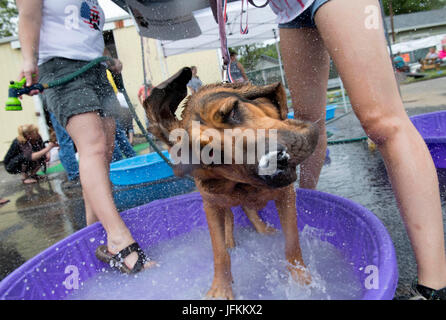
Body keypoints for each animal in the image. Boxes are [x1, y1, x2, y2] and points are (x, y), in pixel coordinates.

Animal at [145, 67, 318, 300]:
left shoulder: (286, 195)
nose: (273, 161)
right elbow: (220, 253)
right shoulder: (211, 205)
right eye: (211, 154)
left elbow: (292, 242)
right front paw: (220, 288)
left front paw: (301, 280)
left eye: (233, 111)